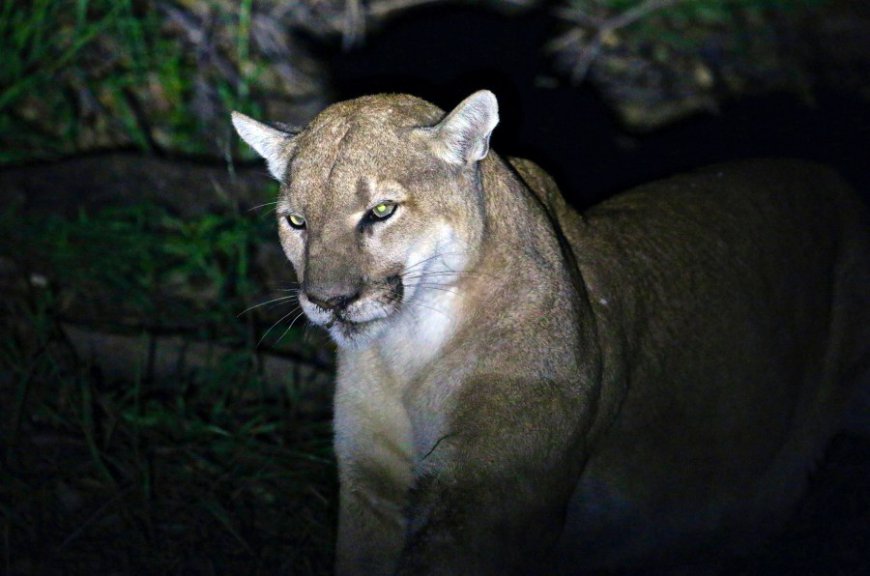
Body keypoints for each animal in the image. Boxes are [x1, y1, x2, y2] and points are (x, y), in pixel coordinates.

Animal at [233, 92, 870, 572]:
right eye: (296, 221)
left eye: (383, 210)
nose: (328, 301)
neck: (405, 351)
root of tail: (836, 182)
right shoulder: (375, 489)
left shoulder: (481, 506)